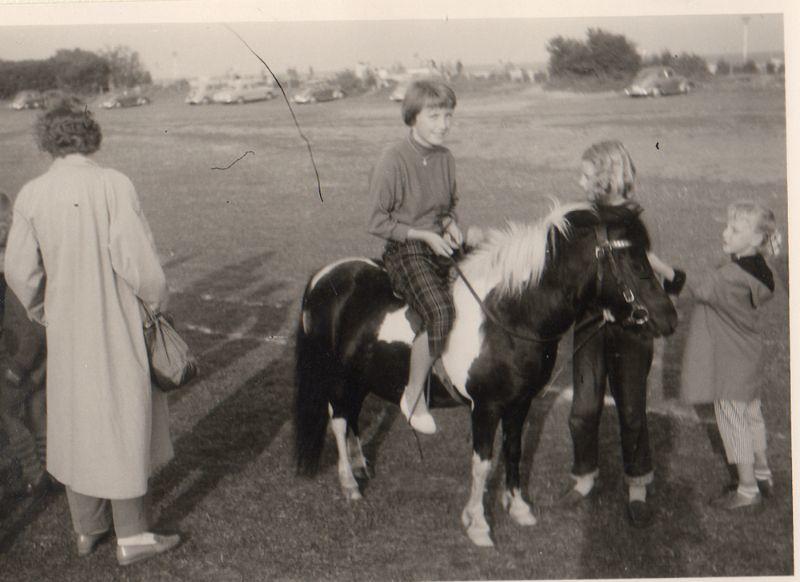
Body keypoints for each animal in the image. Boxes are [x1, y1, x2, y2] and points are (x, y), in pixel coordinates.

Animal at [294, 202, 676, 548]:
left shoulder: (520, 404)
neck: (510, 316)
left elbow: (513, 451)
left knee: (352, 418)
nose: (668, 318)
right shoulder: (486, 408)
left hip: (359, 378)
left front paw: (518, 508)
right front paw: (477, 524)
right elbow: (483, 464)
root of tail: (323, 277)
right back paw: (349, 484)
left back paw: (360, 466)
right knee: (339, 421)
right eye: (633, 261)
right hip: (338, 377)